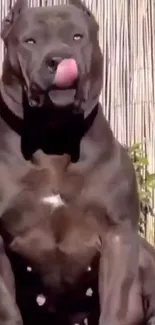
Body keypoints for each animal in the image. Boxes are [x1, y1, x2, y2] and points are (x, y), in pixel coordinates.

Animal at [0, 0, 140, 322]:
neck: (54, 139)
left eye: (77, 36)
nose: (58, 59)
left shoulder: (119, 236)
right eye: (30, 41)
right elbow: (7, 309)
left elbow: (116, 304)